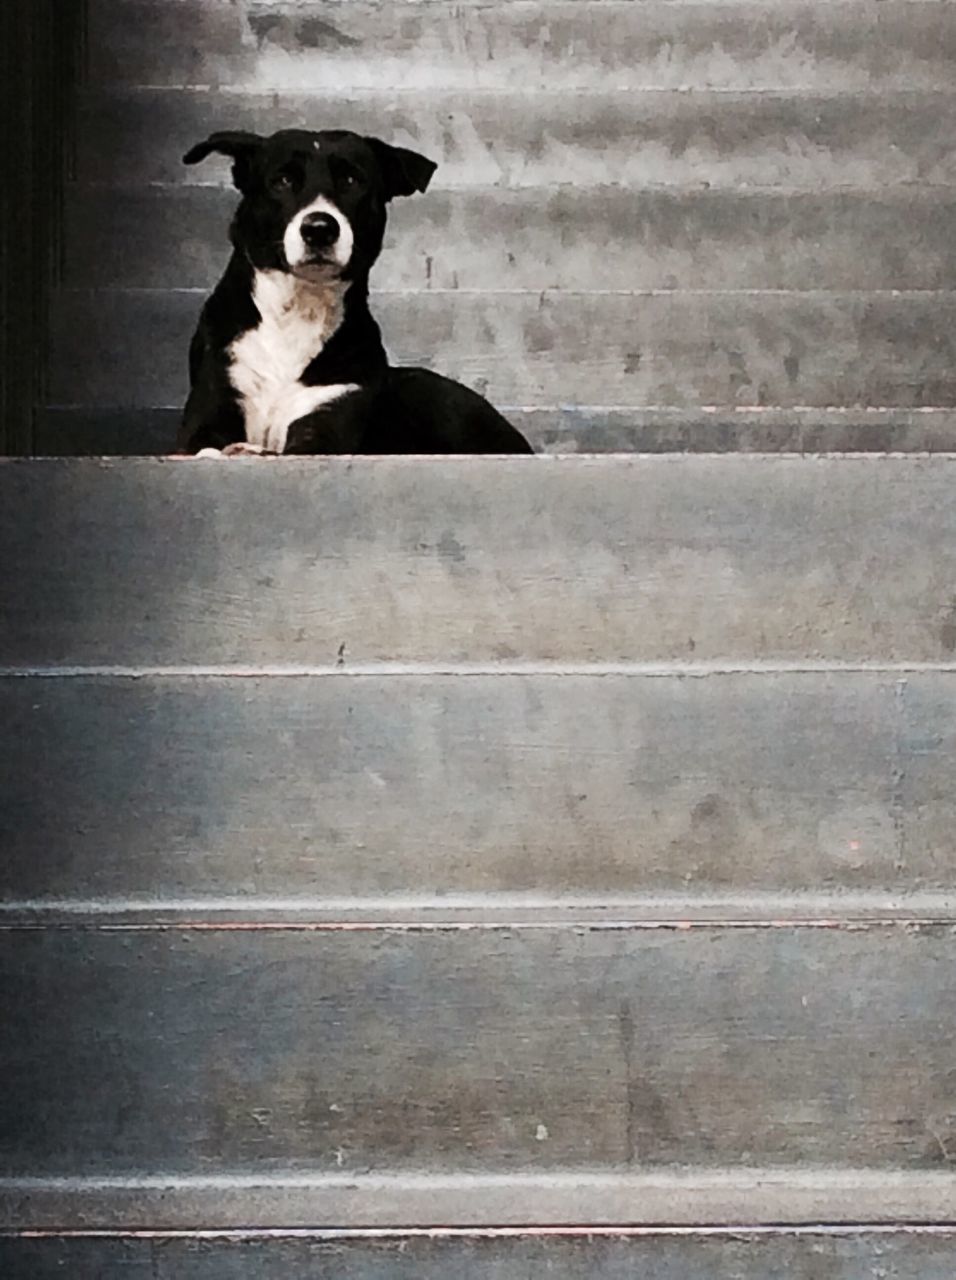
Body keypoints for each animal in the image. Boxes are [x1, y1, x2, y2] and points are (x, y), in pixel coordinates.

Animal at [176, 129, 534, 458]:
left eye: (351, 180)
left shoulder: (331, 413)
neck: (299, 310)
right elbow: (205, 446)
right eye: (282, 181)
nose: (319, 228)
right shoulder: (215, 400)